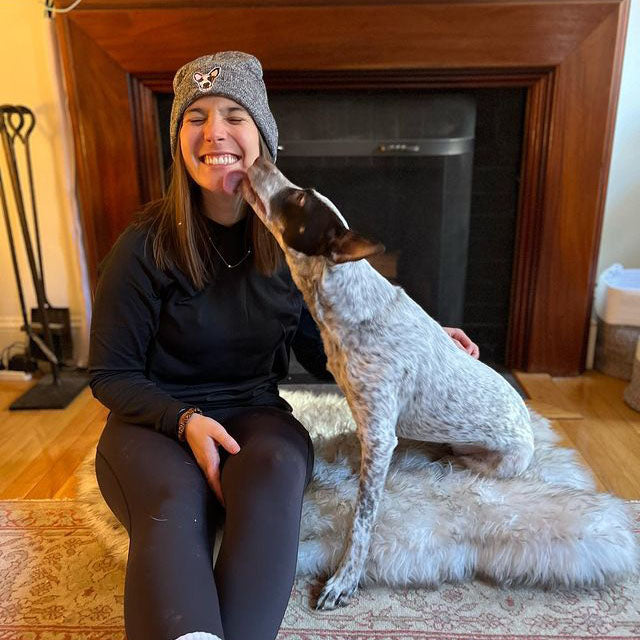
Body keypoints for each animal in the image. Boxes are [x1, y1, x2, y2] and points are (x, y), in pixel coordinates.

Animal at [225, 158, 536, 612]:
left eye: (299, 198)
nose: (260, 159)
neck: (346, 308)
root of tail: (528, 420)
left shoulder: (379, 433)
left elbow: (363, 519)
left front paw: (344, 579)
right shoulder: (370, 427)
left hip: (499, 461)